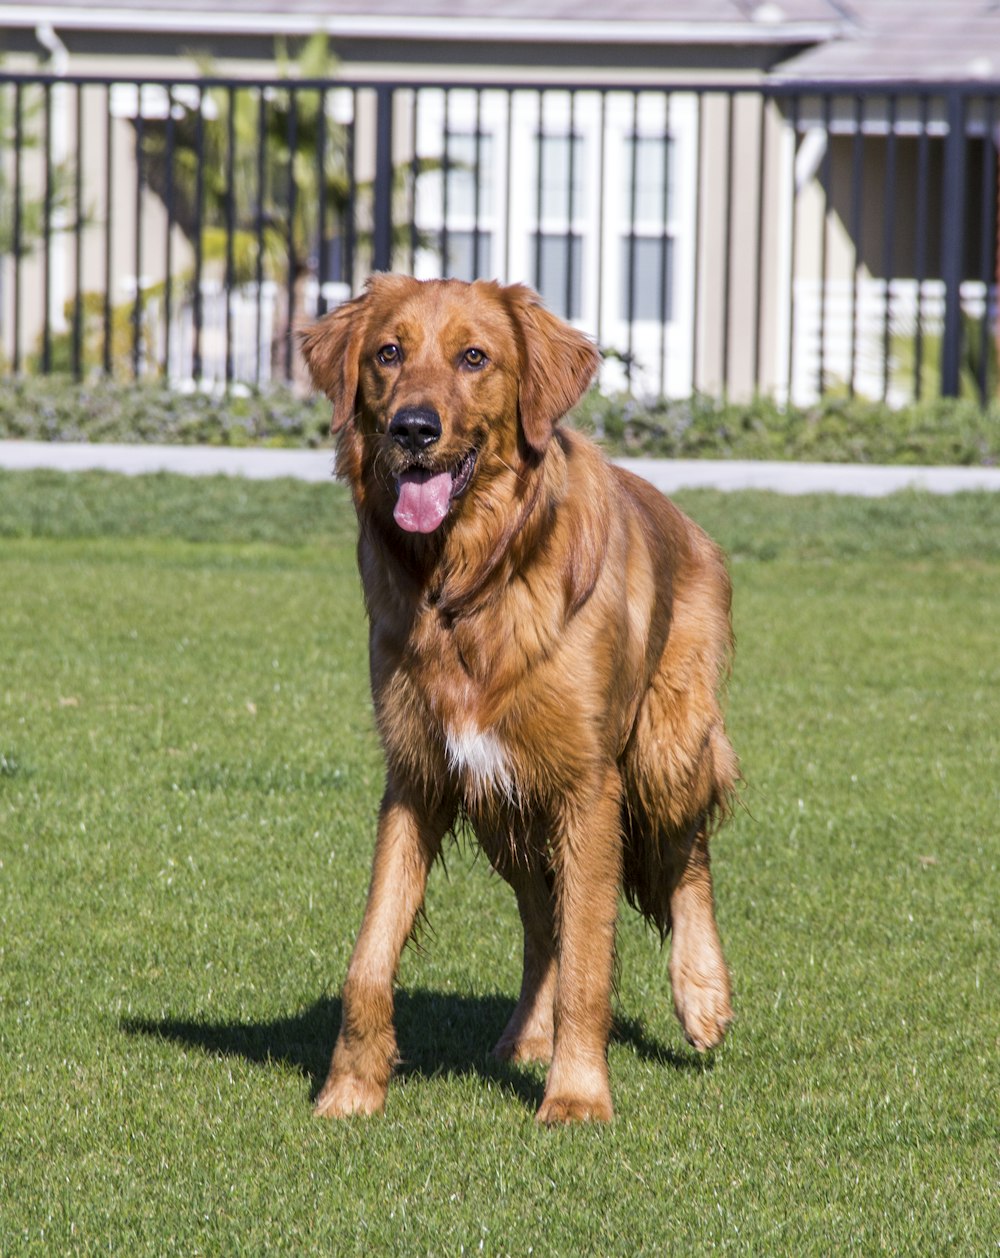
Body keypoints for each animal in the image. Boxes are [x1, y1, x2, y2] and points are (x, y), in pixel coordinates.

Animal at [296, 275, 734, 1122]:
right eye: (387, 353)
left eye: (474, 358)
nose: (413, 428)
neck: (468, 585)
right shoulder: (420, 778)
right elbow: (371, 955)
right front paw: (351, 1091)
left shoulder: (588, 787)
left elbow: (590, 963)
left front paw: (577, 1098)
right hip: (507, 809)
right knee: (543, 925)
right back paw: (525, 1038)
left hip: (663, 755)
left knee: (687, 859)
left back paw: (702, 996)